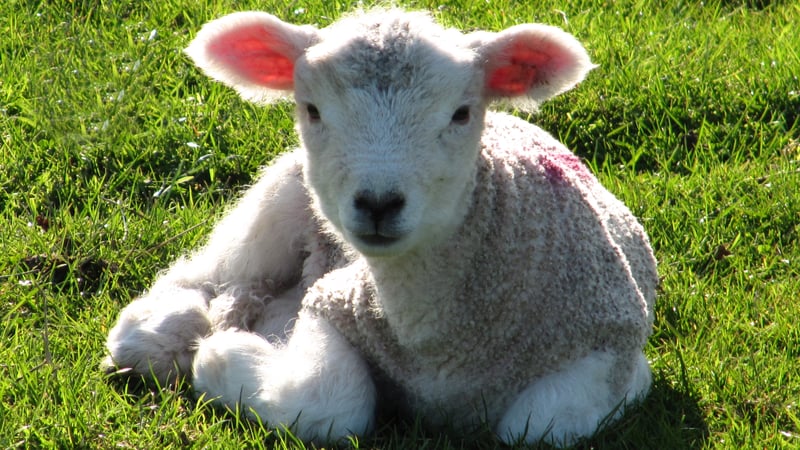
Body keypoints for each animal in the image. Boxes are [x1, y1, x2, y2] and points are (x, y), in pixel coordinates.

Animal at [103, 7, 658, 447]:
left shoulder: (608, 345)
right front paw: (224, 355)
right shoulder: (335, 301)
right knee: (209, 273)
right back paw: (158, 329)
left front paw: (228, 348)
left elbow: (540, 424)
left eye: (461, 113)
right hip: (278, 197)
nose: (377, 203)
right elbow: (327, 405)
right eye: (312, 110)